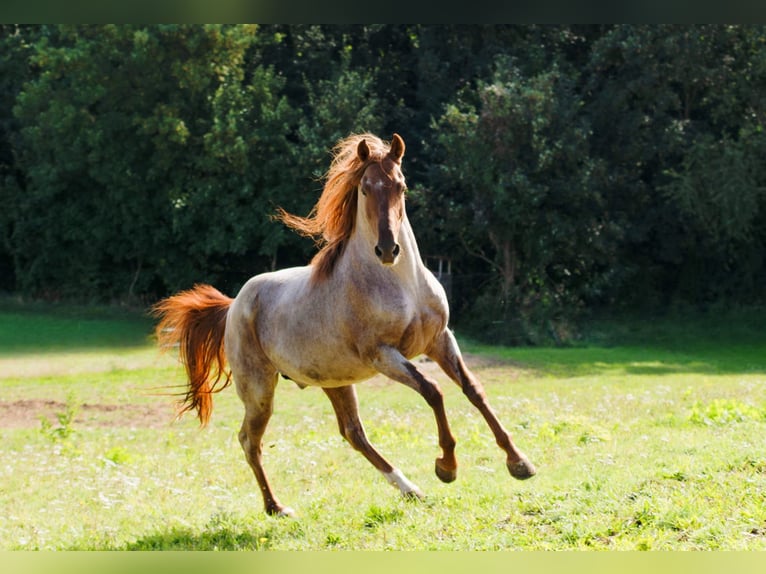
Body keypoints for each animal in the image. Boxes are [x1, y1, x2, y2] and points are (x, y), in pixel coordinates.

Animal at [153, 133, 536, 520]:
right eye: (365, 189)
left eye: (401, 186)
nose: (388, 249)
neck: (402, 285)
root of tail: (233, 305)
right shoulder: (384, 355)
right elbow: (434, 391)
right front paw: (447, 466)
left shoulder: (440, 340)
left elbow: (474, 391)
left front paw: (519, 463)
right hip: (259, 389)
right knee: (250, 440)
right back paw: (277, 508)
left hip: (334, 382)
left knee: (353, 433)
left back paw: (410, 489)